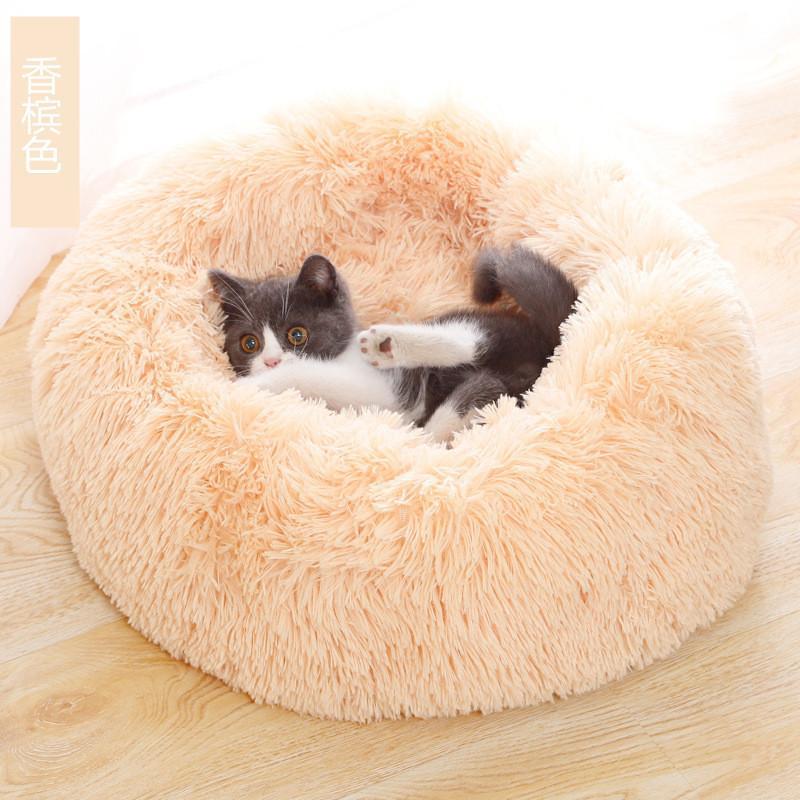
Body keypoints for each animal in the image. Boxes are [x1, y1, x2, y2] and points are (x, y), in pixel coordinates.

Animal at [208, 245, 577, 442]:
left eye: (297, 335)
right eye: (249, 343)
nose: (270, 361)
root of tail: (549, 345)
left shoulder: (379, 391)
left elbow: (309, 373)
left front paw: (253, 385)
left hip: (481, 329)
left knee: (468, 342)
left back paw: (388, 344)